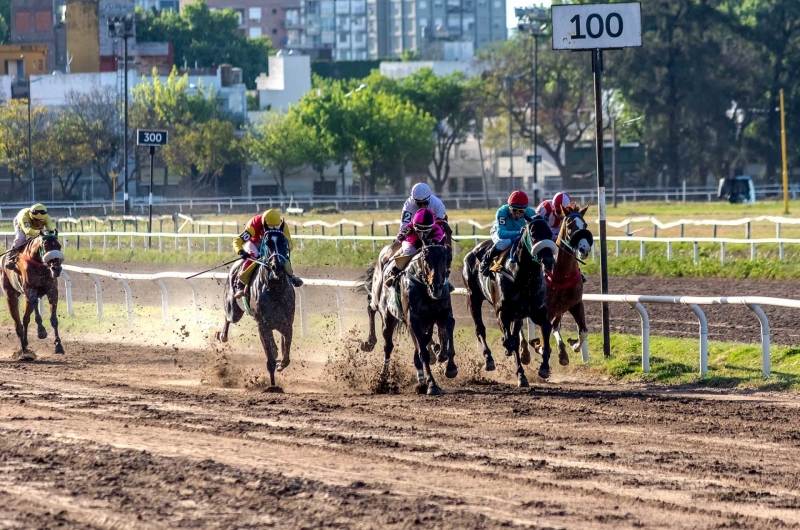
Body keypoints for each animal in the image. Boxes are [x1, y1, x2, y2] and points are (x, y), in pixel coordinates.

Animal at [217, 223, 296, 388]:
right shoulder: (263, 325)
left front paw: (280, 364)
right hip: (234, 310)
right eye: (267, 243)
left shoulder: (287, 324)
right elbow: (270, 359)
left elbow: (285, 356)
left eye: (284, 242)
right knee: (228, 317)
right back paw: (222, 336)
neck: (275, 289)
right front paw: (272, 386)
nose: (277, 266)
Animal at [360, 241, 456, 394]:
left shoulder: (441, 313)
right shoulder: (413, 320)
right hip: (385, 312)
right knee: (386, 341)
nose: (436, 288)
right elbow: (423, 353)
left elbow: (449, 327)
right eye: (425, 259)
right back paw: (381, 375)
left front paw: (450, 367)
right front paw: (432, 385)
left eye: (445, 259)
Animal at [462, 217, 556, 386]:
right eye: (533, 234)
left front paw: (544, 368)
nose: (548, 261)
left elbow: (545, 331)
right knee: (480, 329)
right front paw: (520, 373)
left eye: (550, 233)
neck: (524, 278)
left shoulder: (537, 312)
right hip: (474, 298)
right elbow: (511, 340)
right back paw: (489, 359)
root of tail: (472, 252)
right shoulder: (502, 312)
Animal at [532, 202, 592, 364]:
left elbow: (583, 332)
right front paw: (540, 347)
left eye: (585, 224)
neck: (561, 274)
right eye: (570, 225)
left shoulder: (575, 304)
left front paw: (573, 345)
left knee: (555, 326)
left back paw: (562, 353)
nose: (584, 249)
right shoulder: (545, 310)